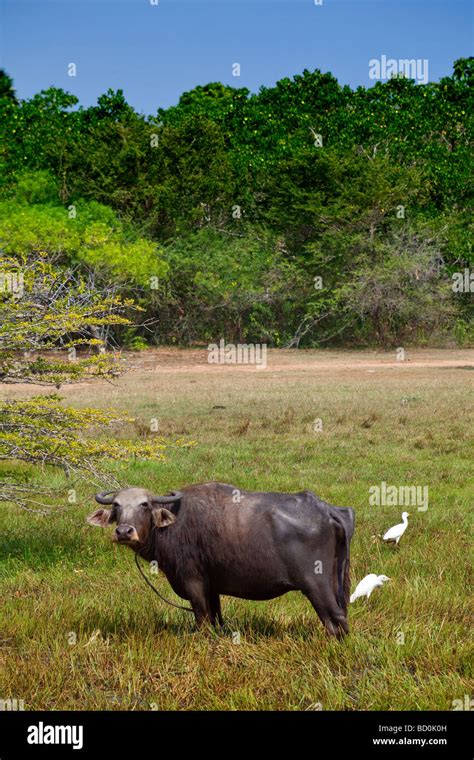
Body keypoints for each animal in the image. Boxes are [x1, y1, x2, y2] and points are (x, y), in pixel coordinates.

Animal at [87, 480, 354, 636]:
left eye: (144, 504)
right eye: (117, 506)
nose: (124, 532)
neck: (172, 525)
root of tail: (327, 509)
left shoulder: (193, 582)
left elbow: (202, 618)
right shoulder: (211, 586)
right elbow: (216, 618)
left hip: (316, 585)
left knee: (335, 619)